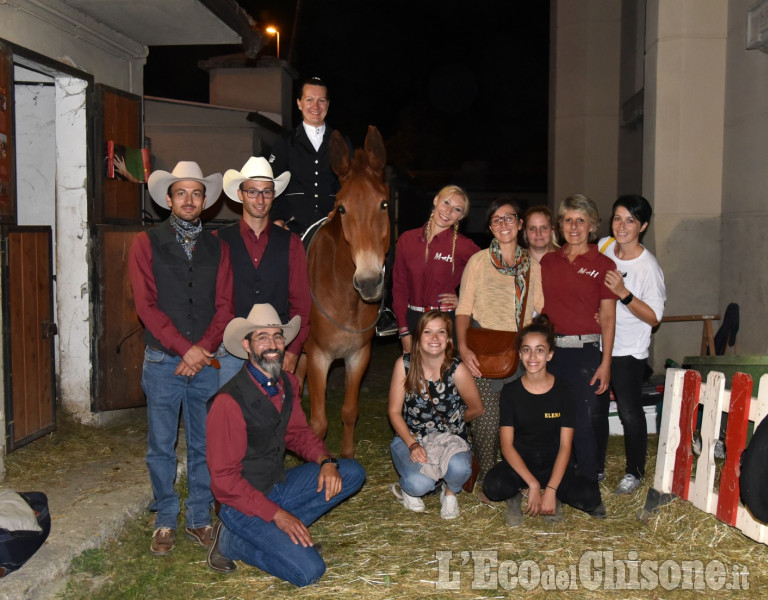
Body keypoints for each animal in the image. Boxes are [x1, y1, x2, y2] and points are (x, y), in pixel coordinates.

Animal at [296, 124, 388, 458]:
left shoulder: (358, 355)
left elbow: (349, 411)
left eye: (383, 204)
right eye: (342, 207)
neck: (347, 298)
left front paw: (348, 455)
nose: (369, 281)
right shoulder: (319, 356)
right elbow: (319, 424)